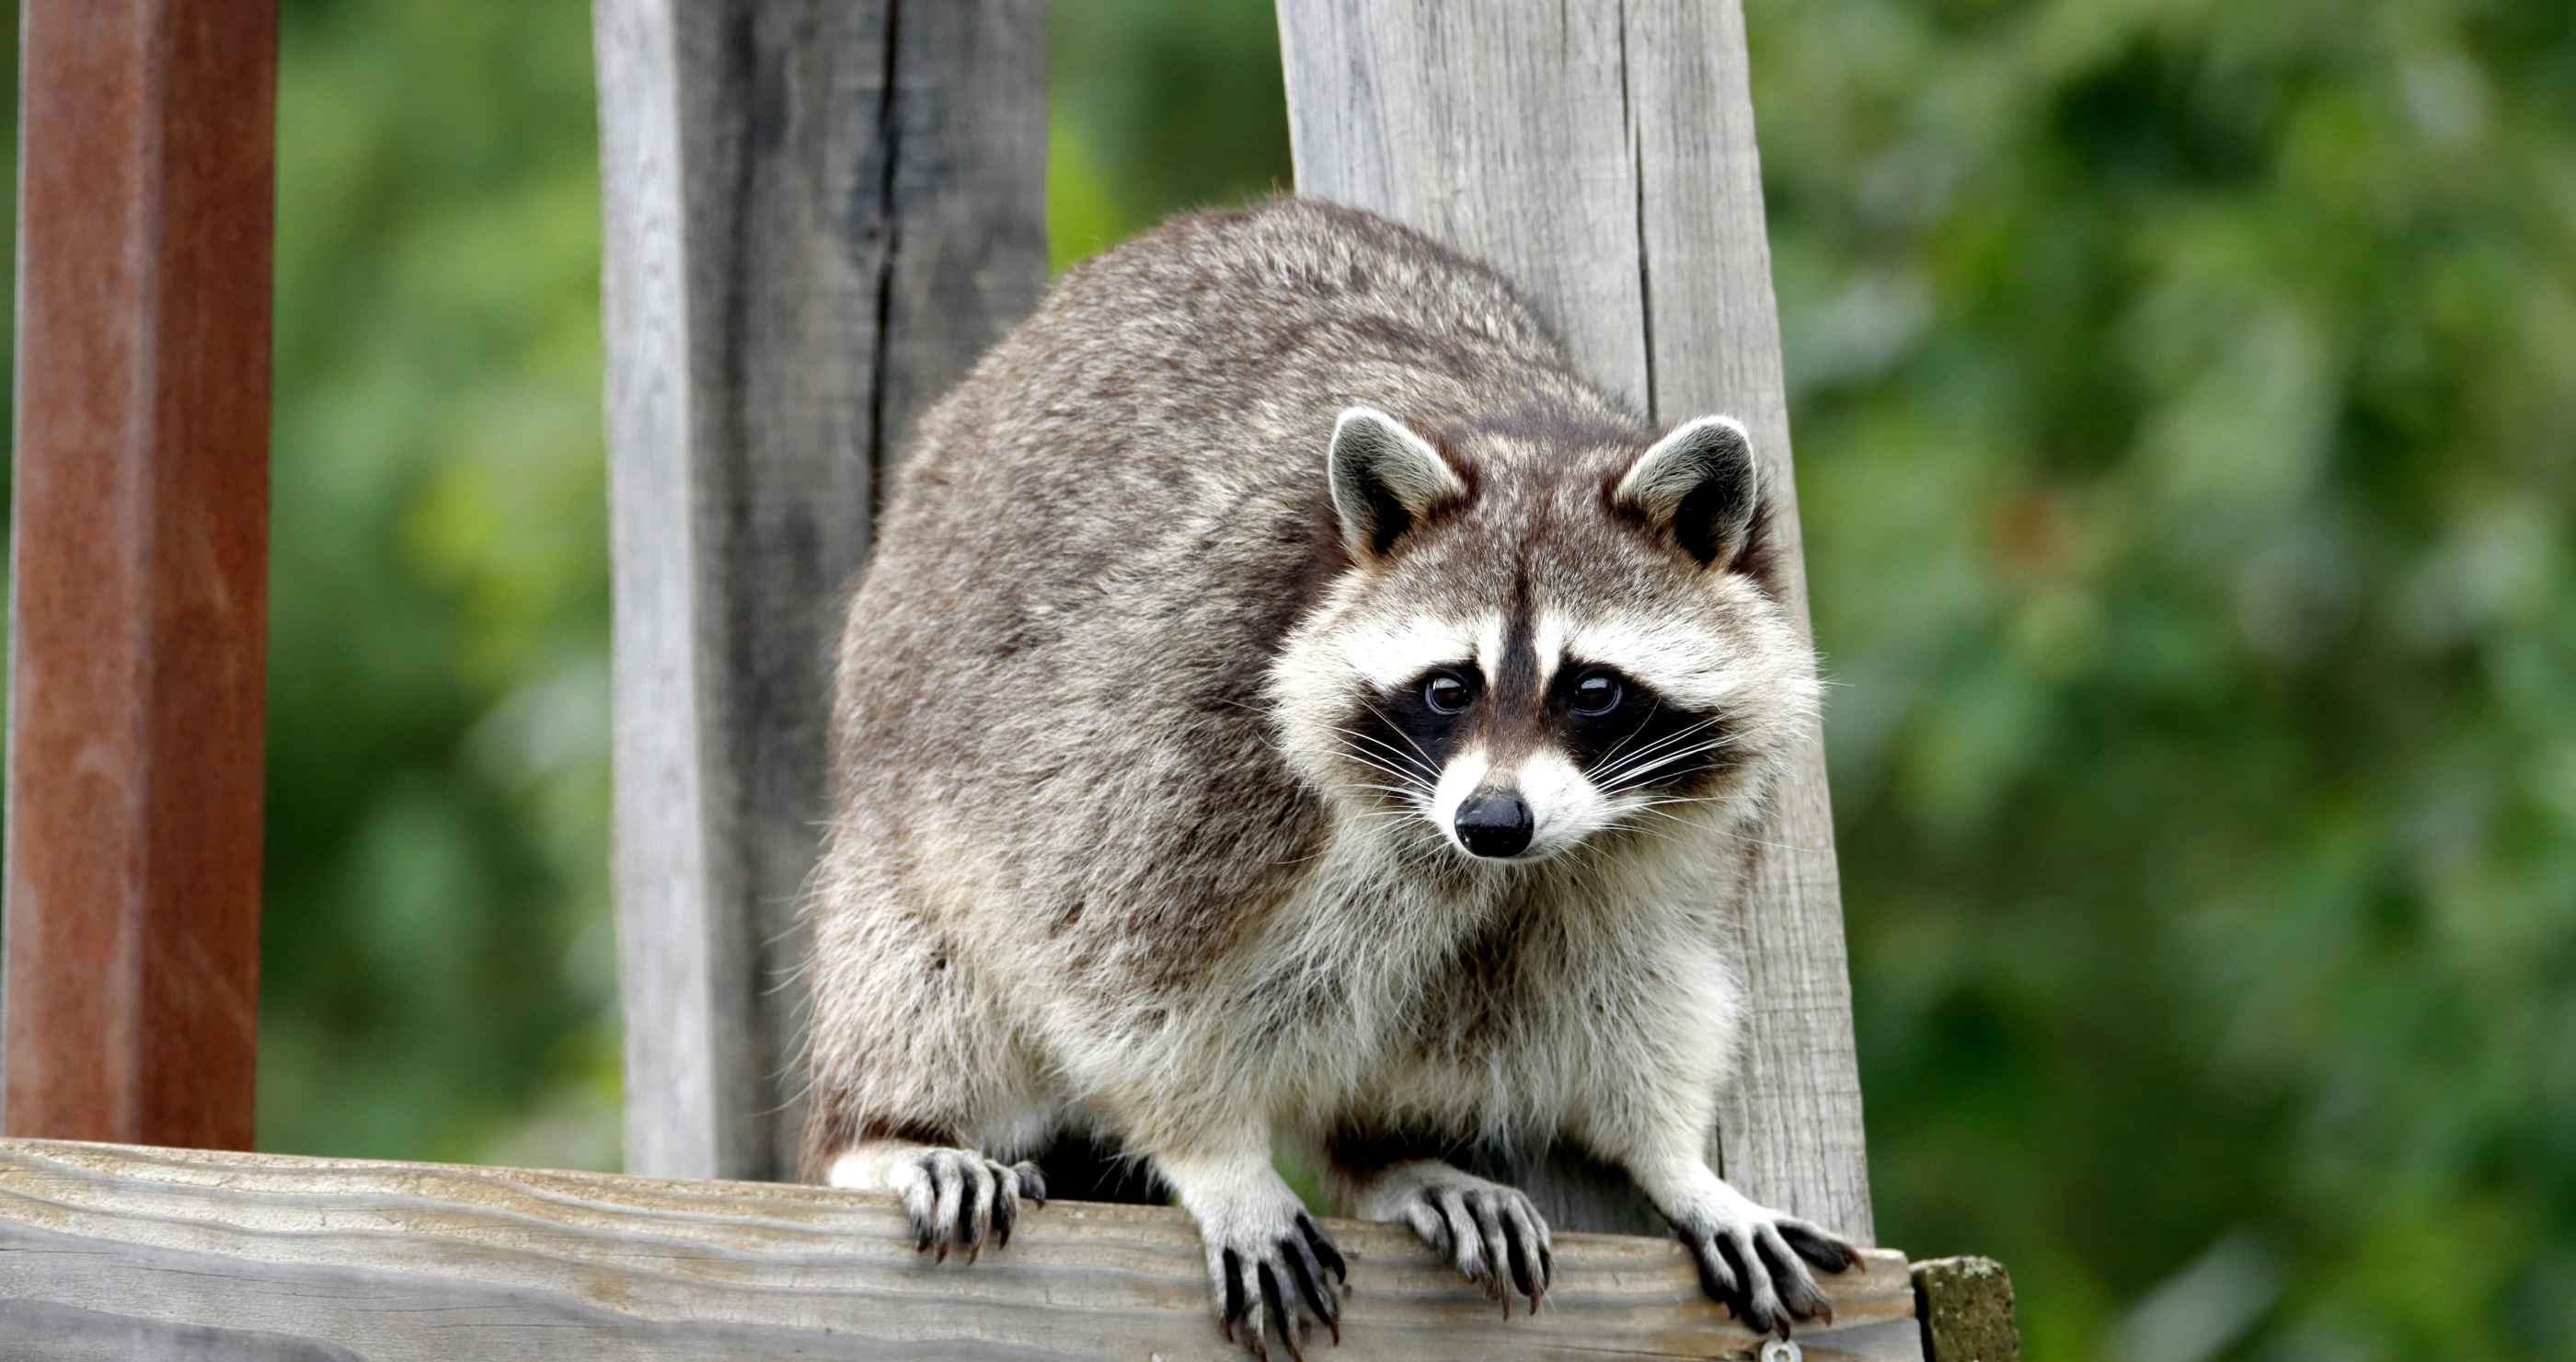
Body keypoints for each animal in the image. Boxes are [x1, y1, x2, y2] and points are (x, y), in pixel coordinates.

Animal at [804, 197, 1859, 1353]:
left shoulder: (1654, 839)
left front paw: (1670, 1156)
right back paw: (885, 1127)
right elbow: (1117, 977)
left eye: (1592, 689)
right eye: (1448, 686)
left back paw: (1394, 1153)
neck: (1524, 431)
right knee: (922, 974)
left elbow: (1636, 979)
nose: (1492, 822)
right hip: (906, 803)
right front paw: (1216, 1154)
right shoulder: (1185, 740)